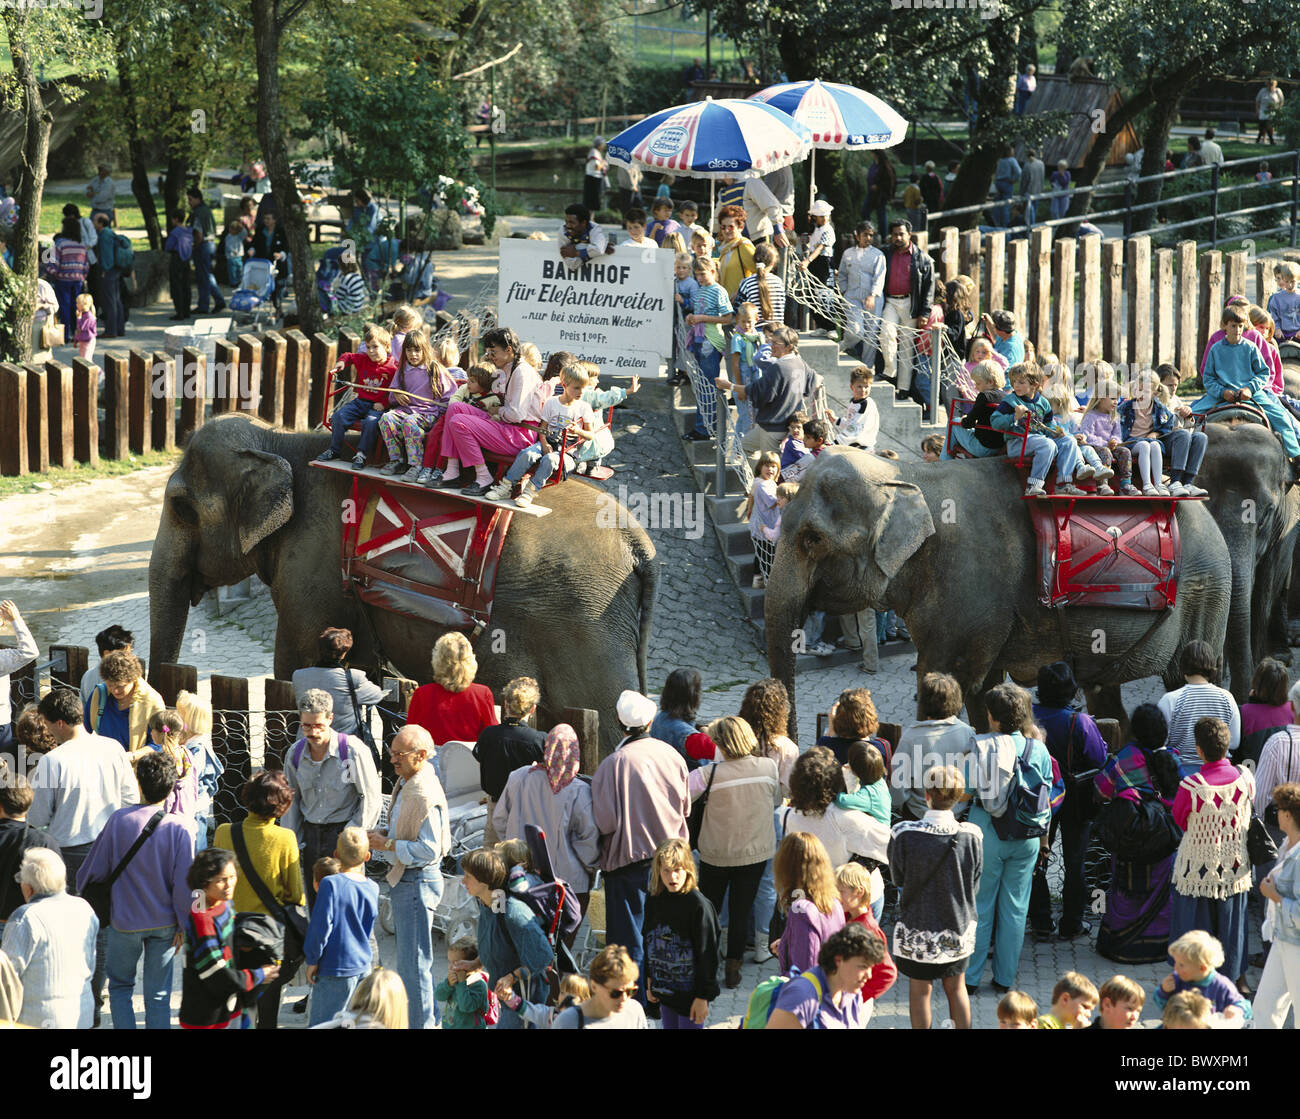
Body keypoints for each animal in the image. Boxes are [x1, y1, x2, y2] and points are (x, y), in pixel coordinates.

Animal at [148, 414, 657, 756]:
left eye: (182, 507)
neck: (280, 441)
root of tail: (640, 545)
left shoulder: (311, 567)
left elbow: (296, 667)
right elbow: (368, 673)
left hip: (586, 622)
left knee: (605, 722)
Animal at [764, 448, 1232, 735]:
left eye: (812, 539)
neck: (909, 476)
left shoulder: (968, 587)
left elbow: (943, 679)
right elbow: (979, 688)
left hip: (1205, 591)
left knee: (1188, 677)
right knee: (1104, 695)